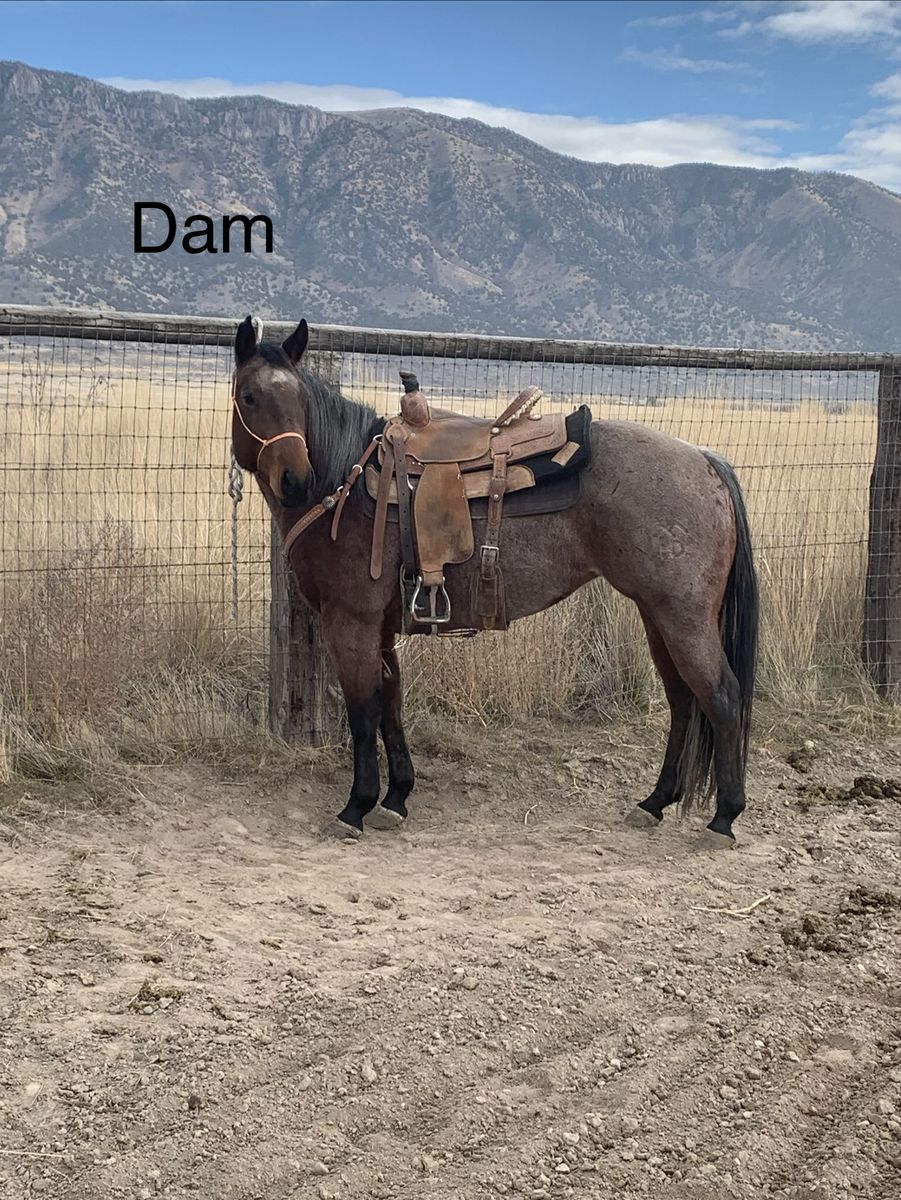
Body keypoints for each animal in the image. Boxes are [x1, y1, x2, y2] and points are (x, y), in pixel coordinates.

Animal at [230, 316, 759, 848]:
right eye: (250, 396)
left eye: (297, 397)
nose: (295, 479)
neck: (347, 485)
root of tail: (705, 460)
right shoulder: (380, 627)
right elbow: (391, 705)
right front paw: (396, 798)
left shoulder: (351, 624)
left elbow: (363, 714)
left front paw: (356, 806)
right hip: (658, 616)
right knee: (683, 700)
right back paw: (655, 802)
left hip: (683, 618)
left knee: (722, 698)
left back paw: (724, 817)